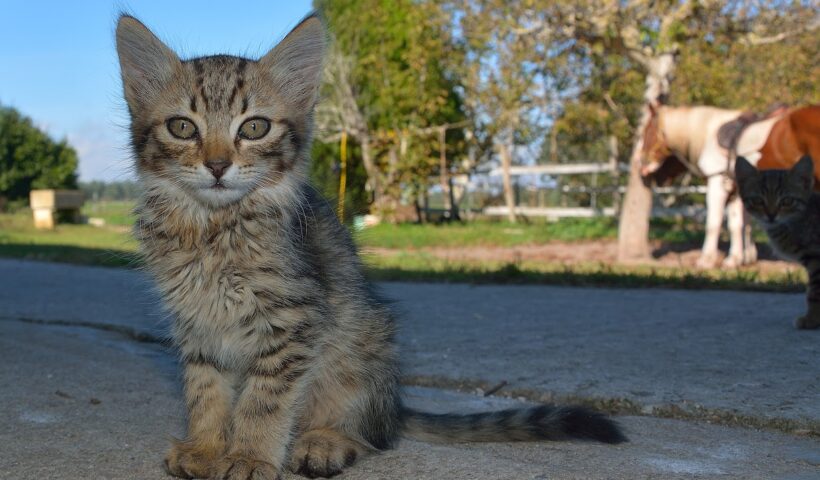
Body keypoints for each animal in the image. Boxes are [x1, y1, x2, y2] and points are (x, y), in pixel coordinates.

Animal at [115, 13, 624, 478]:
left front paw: (249, 457)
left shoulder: (293, 320)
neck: (214, 228)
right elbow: (205, 393)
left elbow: (263, 401)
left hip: (360, 345)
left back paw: (325, 443)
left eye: (254, 128)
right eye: (183, 128)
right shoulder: (196, 325)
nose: (218, 165)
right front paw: (205, 448)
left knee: (371, 436)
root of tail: (393, 405)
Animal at [640, 103, 820, 268]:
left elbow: (714, 222)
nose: (642, 165)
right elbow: (738, 224)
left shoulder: (717, 181)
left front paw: (707, 260)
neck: (709, 133)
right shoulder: (735, 189)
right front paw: (739, 258)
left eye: (648, 131)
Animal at [736, 156, 820, 328]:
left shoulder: (816, 257)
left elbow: (815, 292)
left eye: (787, 201)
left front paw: (812, 319)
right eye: (758, 200)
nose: (771, 215)